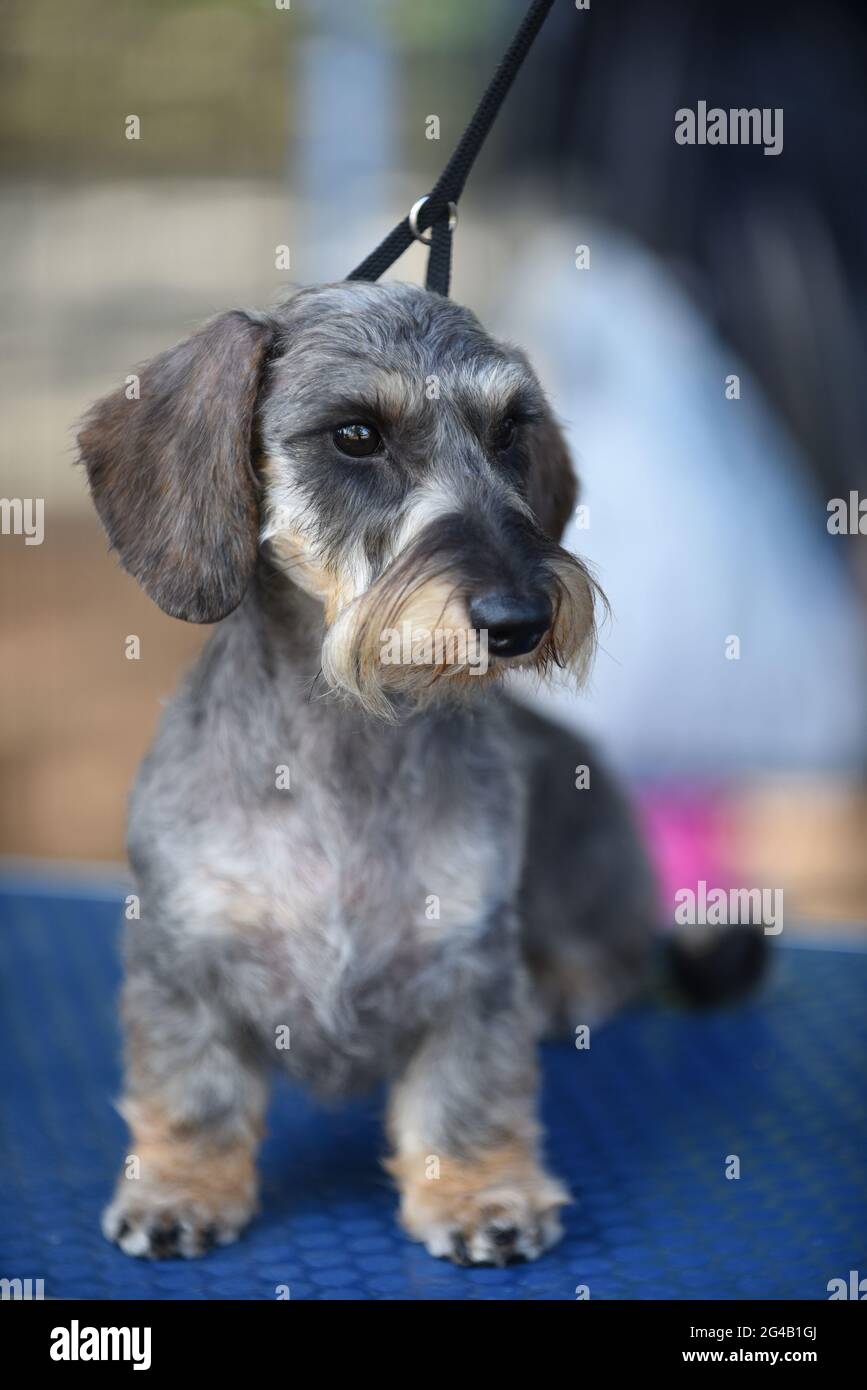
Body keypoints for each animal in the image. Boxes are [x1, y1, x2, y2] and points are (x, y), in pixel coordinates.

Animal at [76, 276, 750, 1267]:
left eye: (510, 431)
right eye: (356, 434)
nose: (520, 618)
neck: (344, 743)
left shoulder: (469, 964)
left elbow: (465, 1091)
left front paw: (477, 1193)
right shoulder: (179, 955)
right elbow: (195, 1089)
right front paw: (180, 1186)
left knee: (619, 960)